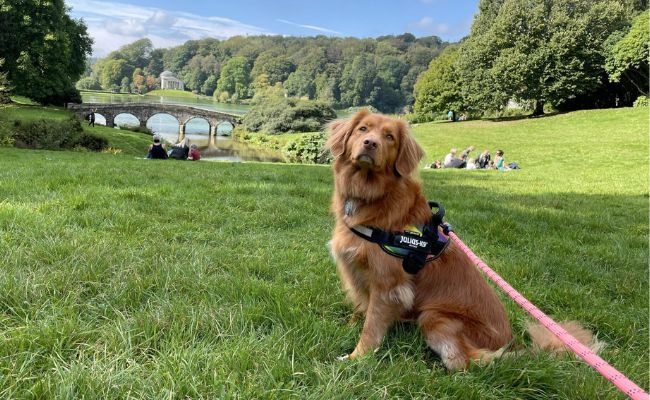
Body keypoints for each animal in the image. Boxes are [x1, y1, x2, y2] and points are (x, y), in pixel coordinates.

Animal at [324, 110, 596, 372]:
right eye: (363, 129)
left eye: (389, 137)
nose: (371, 143)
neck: (371, 195)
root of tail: (512, 343)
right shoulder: (359, 272)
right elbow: (361, 307)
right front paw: (349, 327)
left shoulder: (388, 285)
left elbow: (371, 326)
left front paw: (356, 357)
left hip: (434, 316)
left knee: (466, 362)